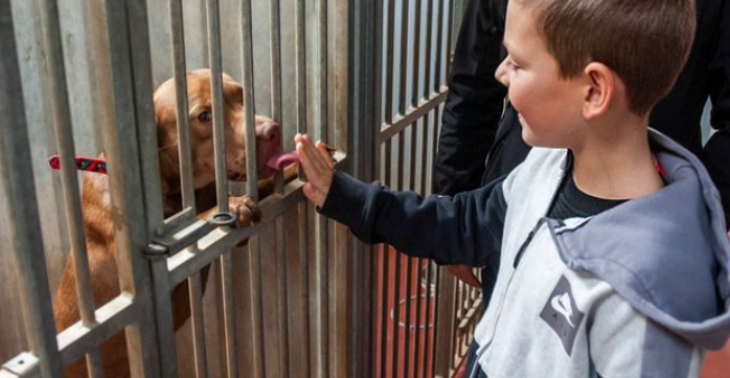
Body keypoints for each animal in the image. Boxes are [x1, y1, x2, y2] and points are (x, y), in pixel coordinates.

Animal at [52, 69, 296, 376]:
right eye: (205, 116)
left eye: (241, 95)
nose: (272, 131)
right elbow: (193, 225)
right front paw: (232, 205)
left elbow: (263, 186)